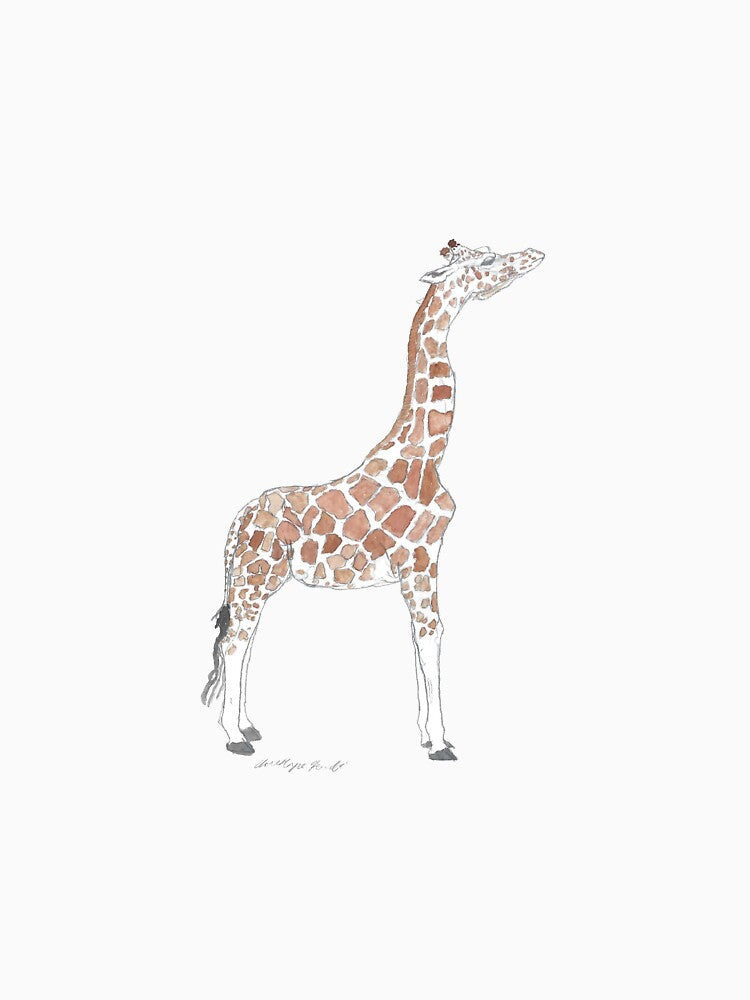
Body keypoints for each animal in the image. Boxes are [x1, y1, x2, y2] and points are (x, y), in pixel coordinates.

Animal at [203, 239, 545, 760]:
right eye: (486, 260)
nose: (534, 254)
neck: (428, 453)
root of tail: (236, 523)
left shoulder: (415, 568)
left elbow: (419, 639)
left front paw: (427, 734)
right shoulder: (422, 559)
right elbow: (432, 635)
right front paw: (440, 743)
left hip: (258, 579)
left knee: (244, 639)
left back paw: (247, 725)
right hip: (254, 576)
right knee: (234, 642)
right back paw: (235, 738)